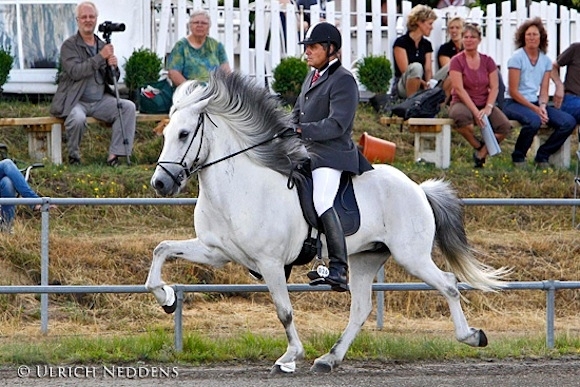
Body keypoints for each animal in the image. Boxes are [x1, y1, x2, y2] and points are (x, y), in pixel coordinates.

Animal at [145, 70, 508, 376]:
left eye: (184, 134)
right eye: (166, 133)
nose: (160, 184)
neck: (241, 185)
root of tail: (418, 188)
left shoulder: (270, 262)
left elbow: (284, 311)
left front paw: (290, 357)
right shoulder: (215, 252)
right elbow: (161, 250)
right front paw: (167, 298)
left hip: (411, 255)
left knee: (448, 283)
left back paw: (472, 336)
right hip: (365, 258)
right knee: (361, 308)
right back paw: (329, 359)